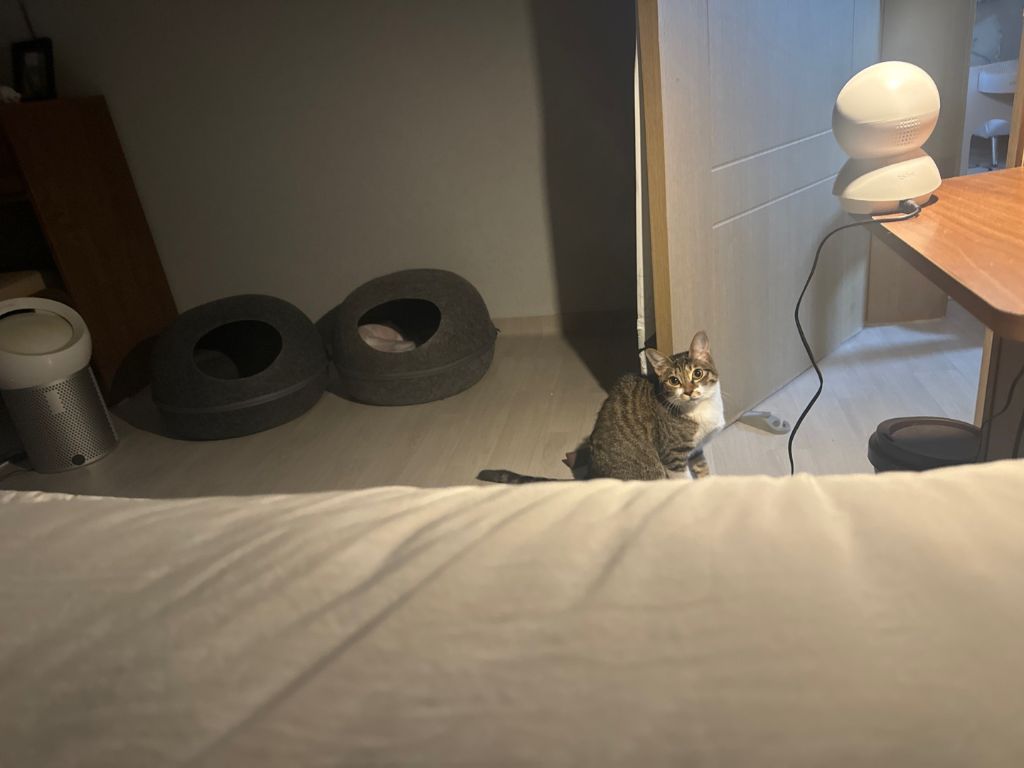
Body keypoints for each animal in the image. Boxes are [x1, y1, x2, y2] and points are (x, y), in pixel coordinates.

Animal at [478, 331, 725, 483]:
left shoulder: (696, 450)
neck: (702, 410)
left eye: (697, 373)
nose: (689, 391)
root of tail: (592, 475)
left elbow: (702, 469)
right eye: (674, 380)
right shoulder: (672, 455)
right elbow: (683, 479)